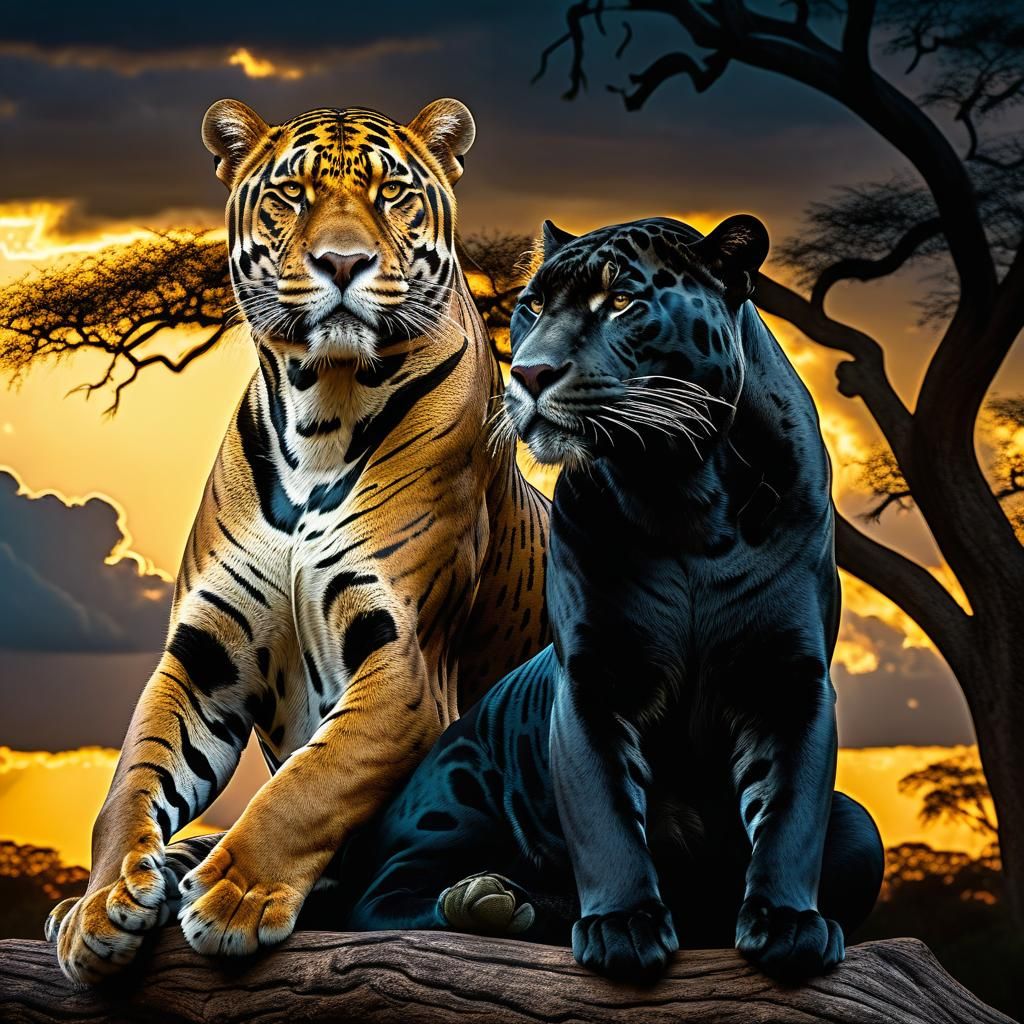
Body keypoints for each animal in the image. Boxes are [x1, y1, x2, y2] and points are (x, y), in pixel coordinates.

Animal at [45, 97, 549, 985]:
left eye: (391, 194)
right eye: (292, 194)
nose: (342, 263)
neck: (323, 405)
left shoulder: (405, 661)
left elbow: (315, 778)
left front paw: (235, 895)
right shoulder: (203, 655)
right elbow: (131, 780)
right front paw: (104, 903)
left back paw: (483, 899)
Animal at [330, 214, 884, 983]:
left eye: (621, 301)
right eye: (532, 305)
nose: (529, 373)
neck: (681, 492)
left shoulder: (789, 676)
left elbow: (790, 809)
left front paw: (788, 924)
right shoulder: (594, 677)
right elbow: (606, 814)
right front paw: (623, 927)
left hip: (858, 827)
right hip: (455, 790)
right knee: (381, 901)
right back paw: (488, 901)